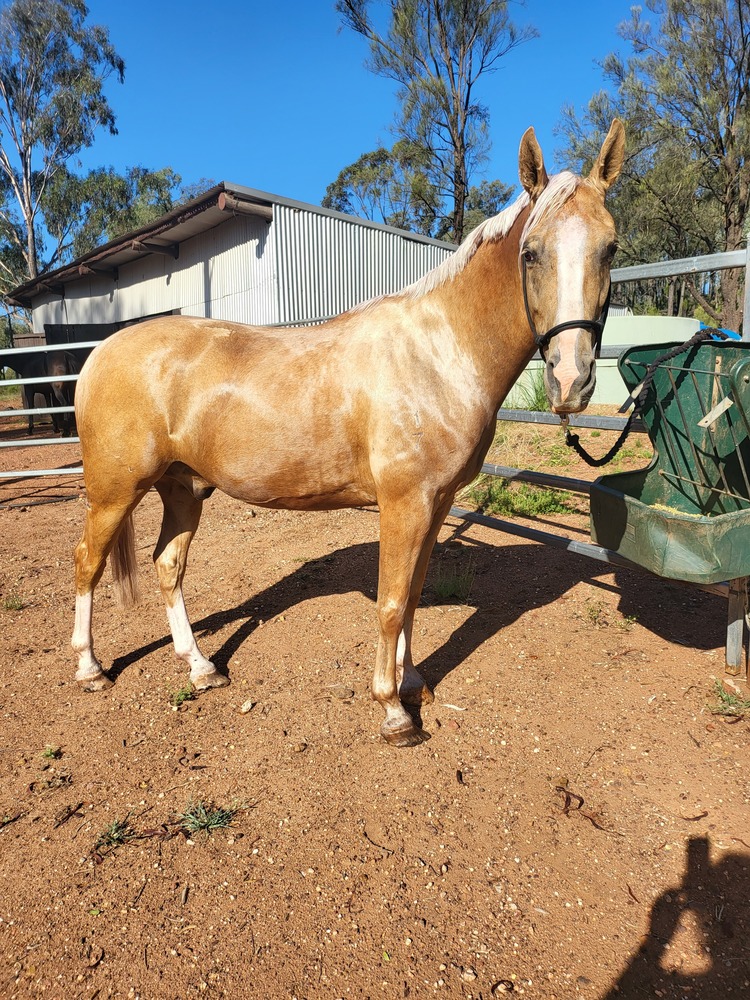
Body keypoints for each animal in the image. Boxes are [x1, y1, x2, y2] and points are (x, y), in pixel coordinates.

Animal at [71, 121, 625, 747]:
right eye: (531, 253)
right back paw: (90, 669)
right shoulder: (404, 503)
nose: (571, 380)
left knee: (168, 566)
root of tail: (98, 354)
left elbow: (413, 594)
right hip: (115, 493)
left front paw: (414, 684)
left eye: (610, 248)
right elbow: (390, 602)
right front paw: (392, 710)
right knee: (88, 562)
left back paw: (201, 667)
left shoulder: (436, 504)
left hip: (182, 490)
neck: (436, 353)